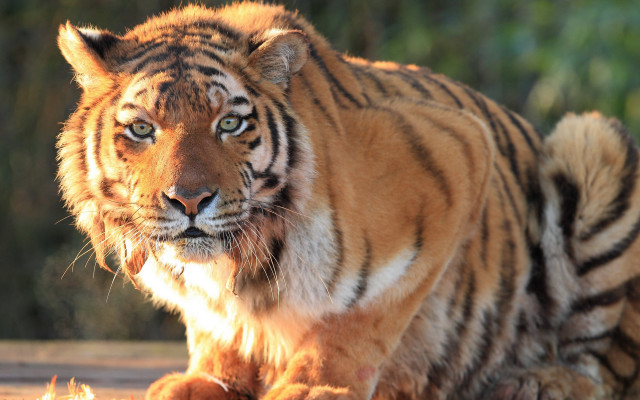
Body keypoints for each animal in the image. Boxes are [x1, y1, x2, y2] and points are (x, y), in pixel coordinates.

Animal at [56, 2, 640, 399]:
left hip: (596, 144)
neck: (242, 255)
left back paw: (537, 380)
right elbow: (216, 323)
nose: (190, 200)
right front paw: (208, 379)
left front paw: (315, 386)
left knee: (600, 367)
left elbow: (364, 314)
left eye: (230, 124)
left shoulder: (459, 155)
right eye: (142, 129)